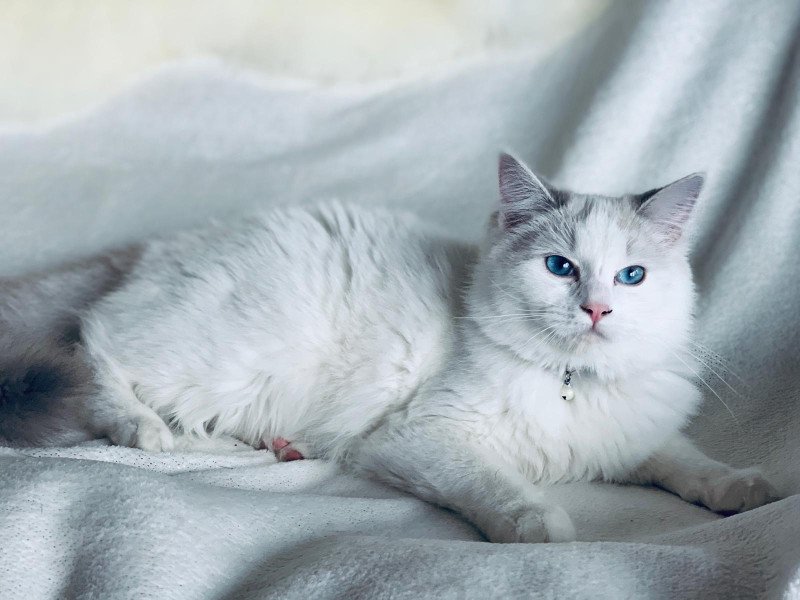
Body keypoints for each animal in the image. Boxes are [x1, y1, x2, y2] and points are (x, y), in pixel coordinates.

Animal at [0, 152, 780, 540]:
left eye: (632, 275)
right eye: (560, 267)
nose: (595, 308)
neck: (571, 382)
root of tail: (151, 249)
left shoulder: (637, 435)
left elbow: (689, 464)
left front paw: (742, 490)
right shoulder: (424, 438)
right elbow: (497, 485)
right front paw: (539, 524)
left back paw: (262, 446)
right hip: (223, 357)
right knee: (95, 348)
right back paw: (146, 428)